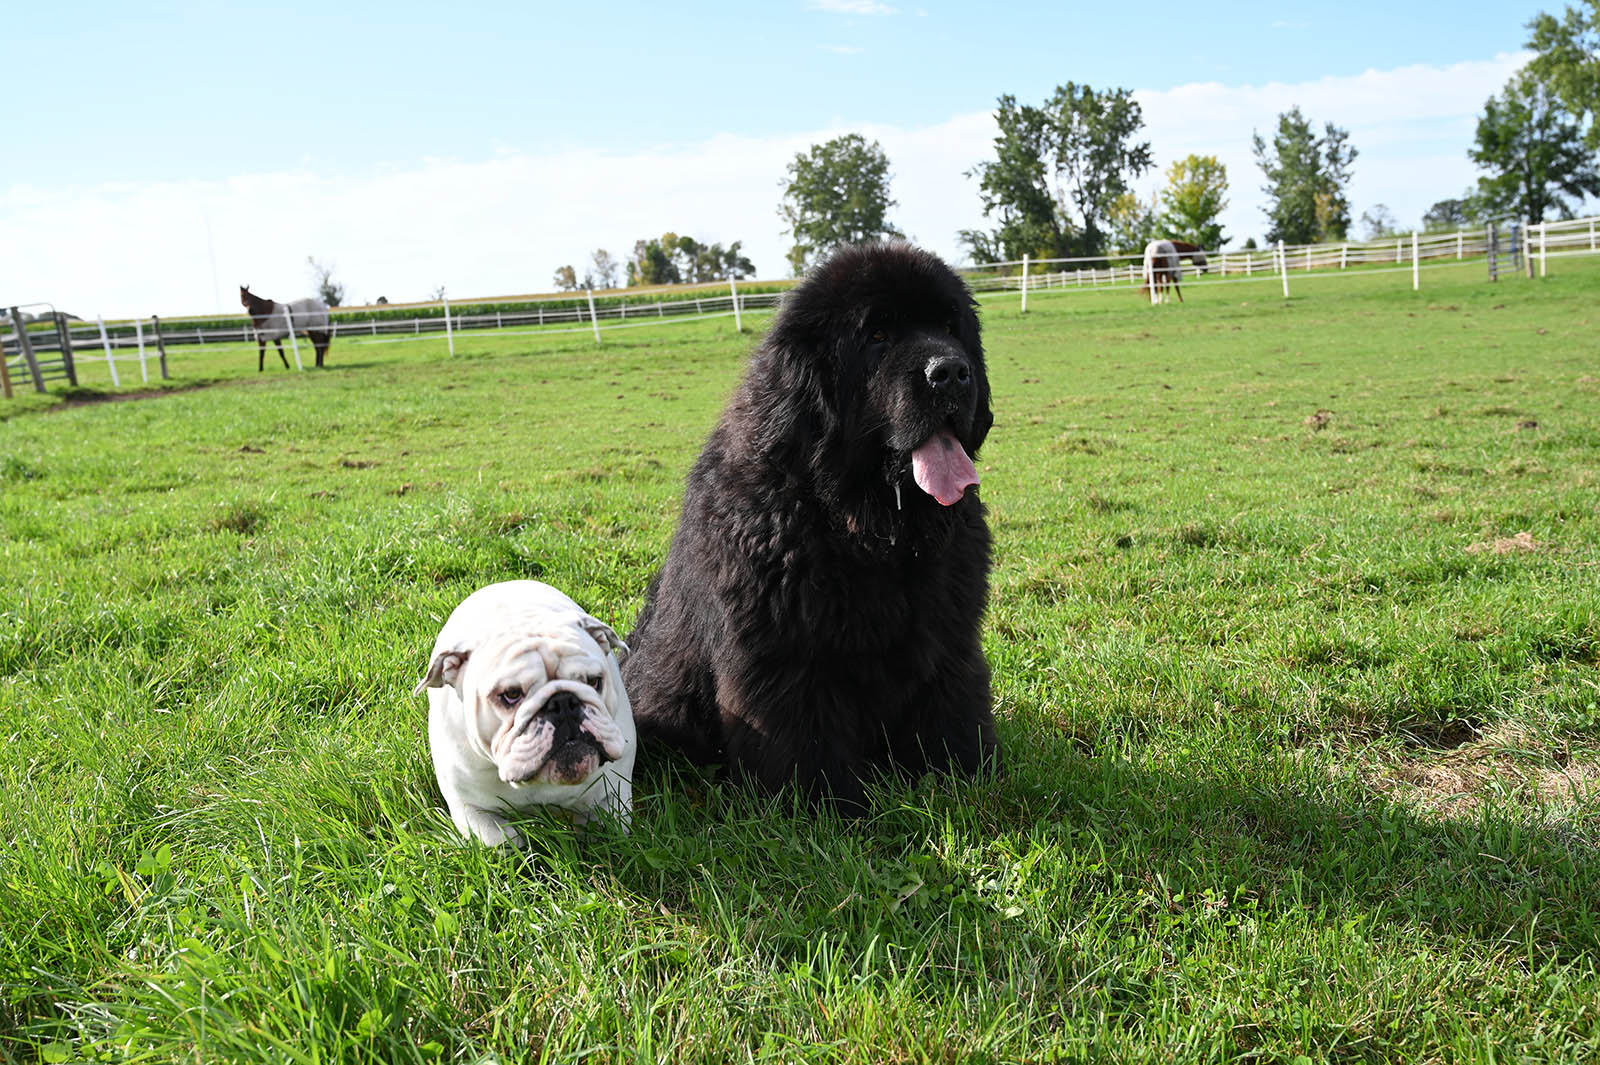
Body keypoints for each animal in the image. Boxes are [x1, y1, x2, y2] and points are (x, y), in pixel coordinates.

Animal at [624, 238, 998, 805]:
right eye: (878, 335)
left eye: (950, 326)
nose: (952, 372)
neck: (868, 529)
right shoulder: (786, 656)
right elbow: (803, 738)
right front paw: (823, 807)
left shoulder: (947, 636)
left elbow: (951, 705)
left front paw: (964, 775)